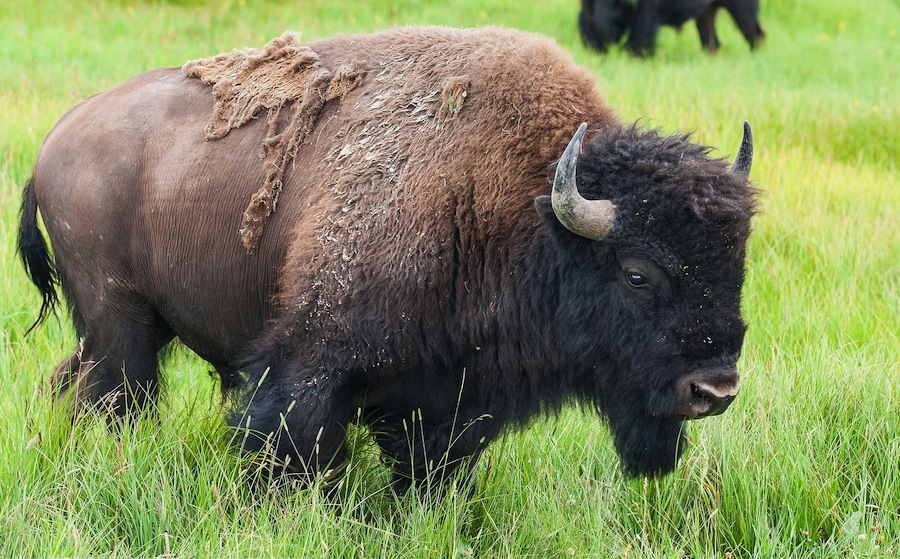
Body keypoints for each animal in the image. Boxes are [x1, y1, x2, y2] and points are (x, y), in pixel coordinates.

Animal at [17, 26, 756, 492]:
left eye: (737, 265)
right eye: (637, 273)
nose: (715, 389)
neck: (525, 207)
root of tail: (57, 137)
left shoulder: (449, 397)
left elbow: (431, 467)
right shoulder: (310, 365)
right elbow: (293, 445)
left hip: (121, 330)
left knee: (73, 383)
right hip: (122, 326)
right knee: (114, 396)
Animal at [576, 0, 768, 56]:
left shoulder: (647, 10)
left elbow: (640, 34)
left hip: (741, 9)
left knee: (755, 33)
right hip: (706, 14)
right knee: (712, 42)